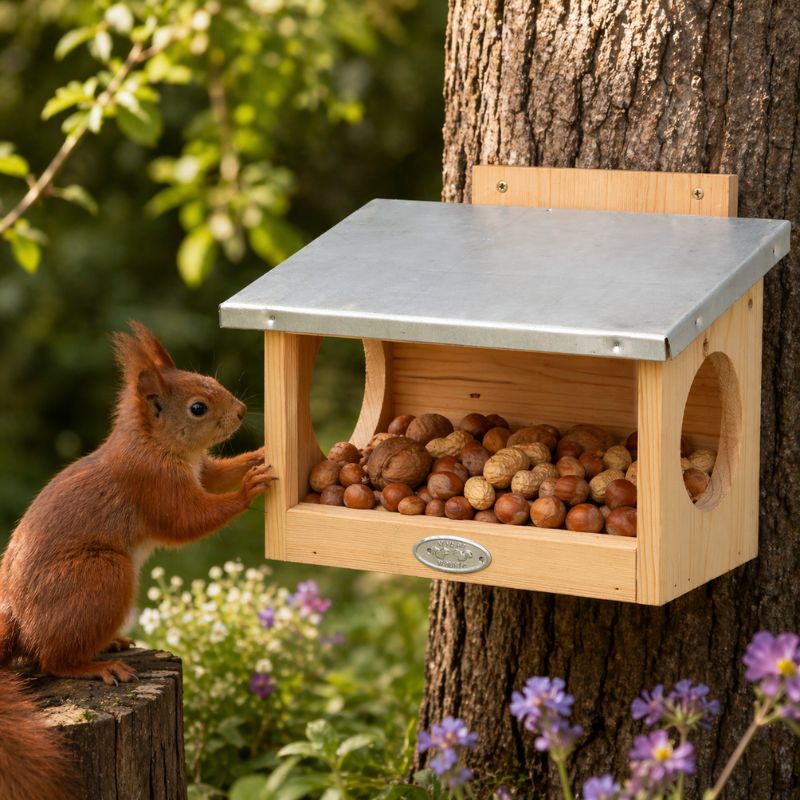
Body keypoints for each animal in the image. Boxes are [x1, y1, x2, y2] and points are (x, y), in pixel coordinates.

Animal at [0, 321, 274, 799]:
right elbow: (188, 520)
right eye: (198, 408)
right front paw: (249, 488)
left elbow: (218, 474)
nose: (241, 412)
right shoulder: (152, 484)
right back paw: (99, 666)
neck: (153, 444)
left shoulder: (200, 470)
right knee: (49, 659)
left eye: (210, 380)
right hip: (102, 574)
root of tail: (14, 617)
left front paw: (258, 456)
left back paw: (111, 643)